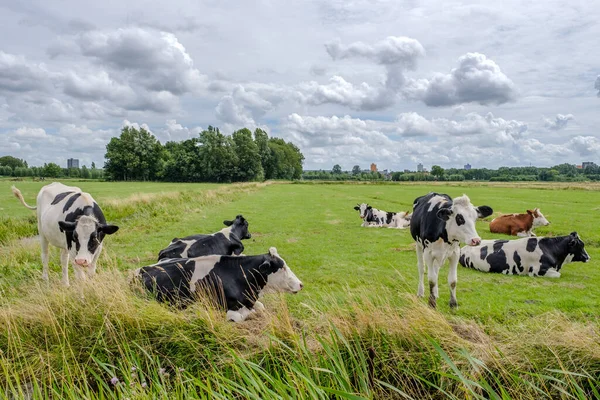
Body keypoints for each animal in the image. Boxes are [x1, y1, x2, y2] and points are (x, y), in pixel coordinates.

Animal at [134, 247, 302, 322]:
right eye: (282, 267)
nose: (301, 284)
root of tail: (141, 270)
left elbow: (260, 307)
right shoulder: (223, 307)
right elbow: (242, 316)